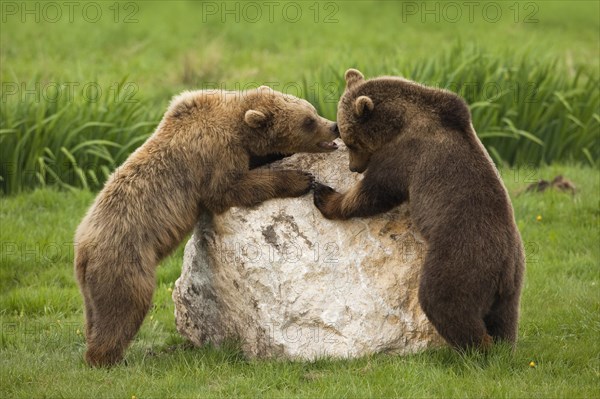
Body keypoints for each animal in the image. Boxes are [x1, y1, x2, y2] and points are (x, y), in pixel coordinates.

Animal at [74, 86, 338, 368]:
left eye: (312, 110)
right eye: (308, 121)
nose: (333, 127)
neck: (239, 127)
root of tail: (83, 247)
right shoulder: (215, 153)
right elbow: (227, 189)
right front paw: (300, 178)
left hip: (91, 284)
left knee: (95, 314)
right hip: (125, 261)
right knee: (124, 307)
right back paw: (105, 358)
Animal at [314, 70, 524, 352]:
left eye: (350, 142)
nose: (353, 168)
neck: (400, 122)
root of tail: (505, 264)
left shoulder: (407, 154)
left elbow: (377, 191)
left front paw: (326, 196)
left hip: (462, 256)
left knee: (443, 300)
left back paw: (478, 348)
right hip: (513, 283)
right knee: (505, 318)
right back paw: (502, 346)